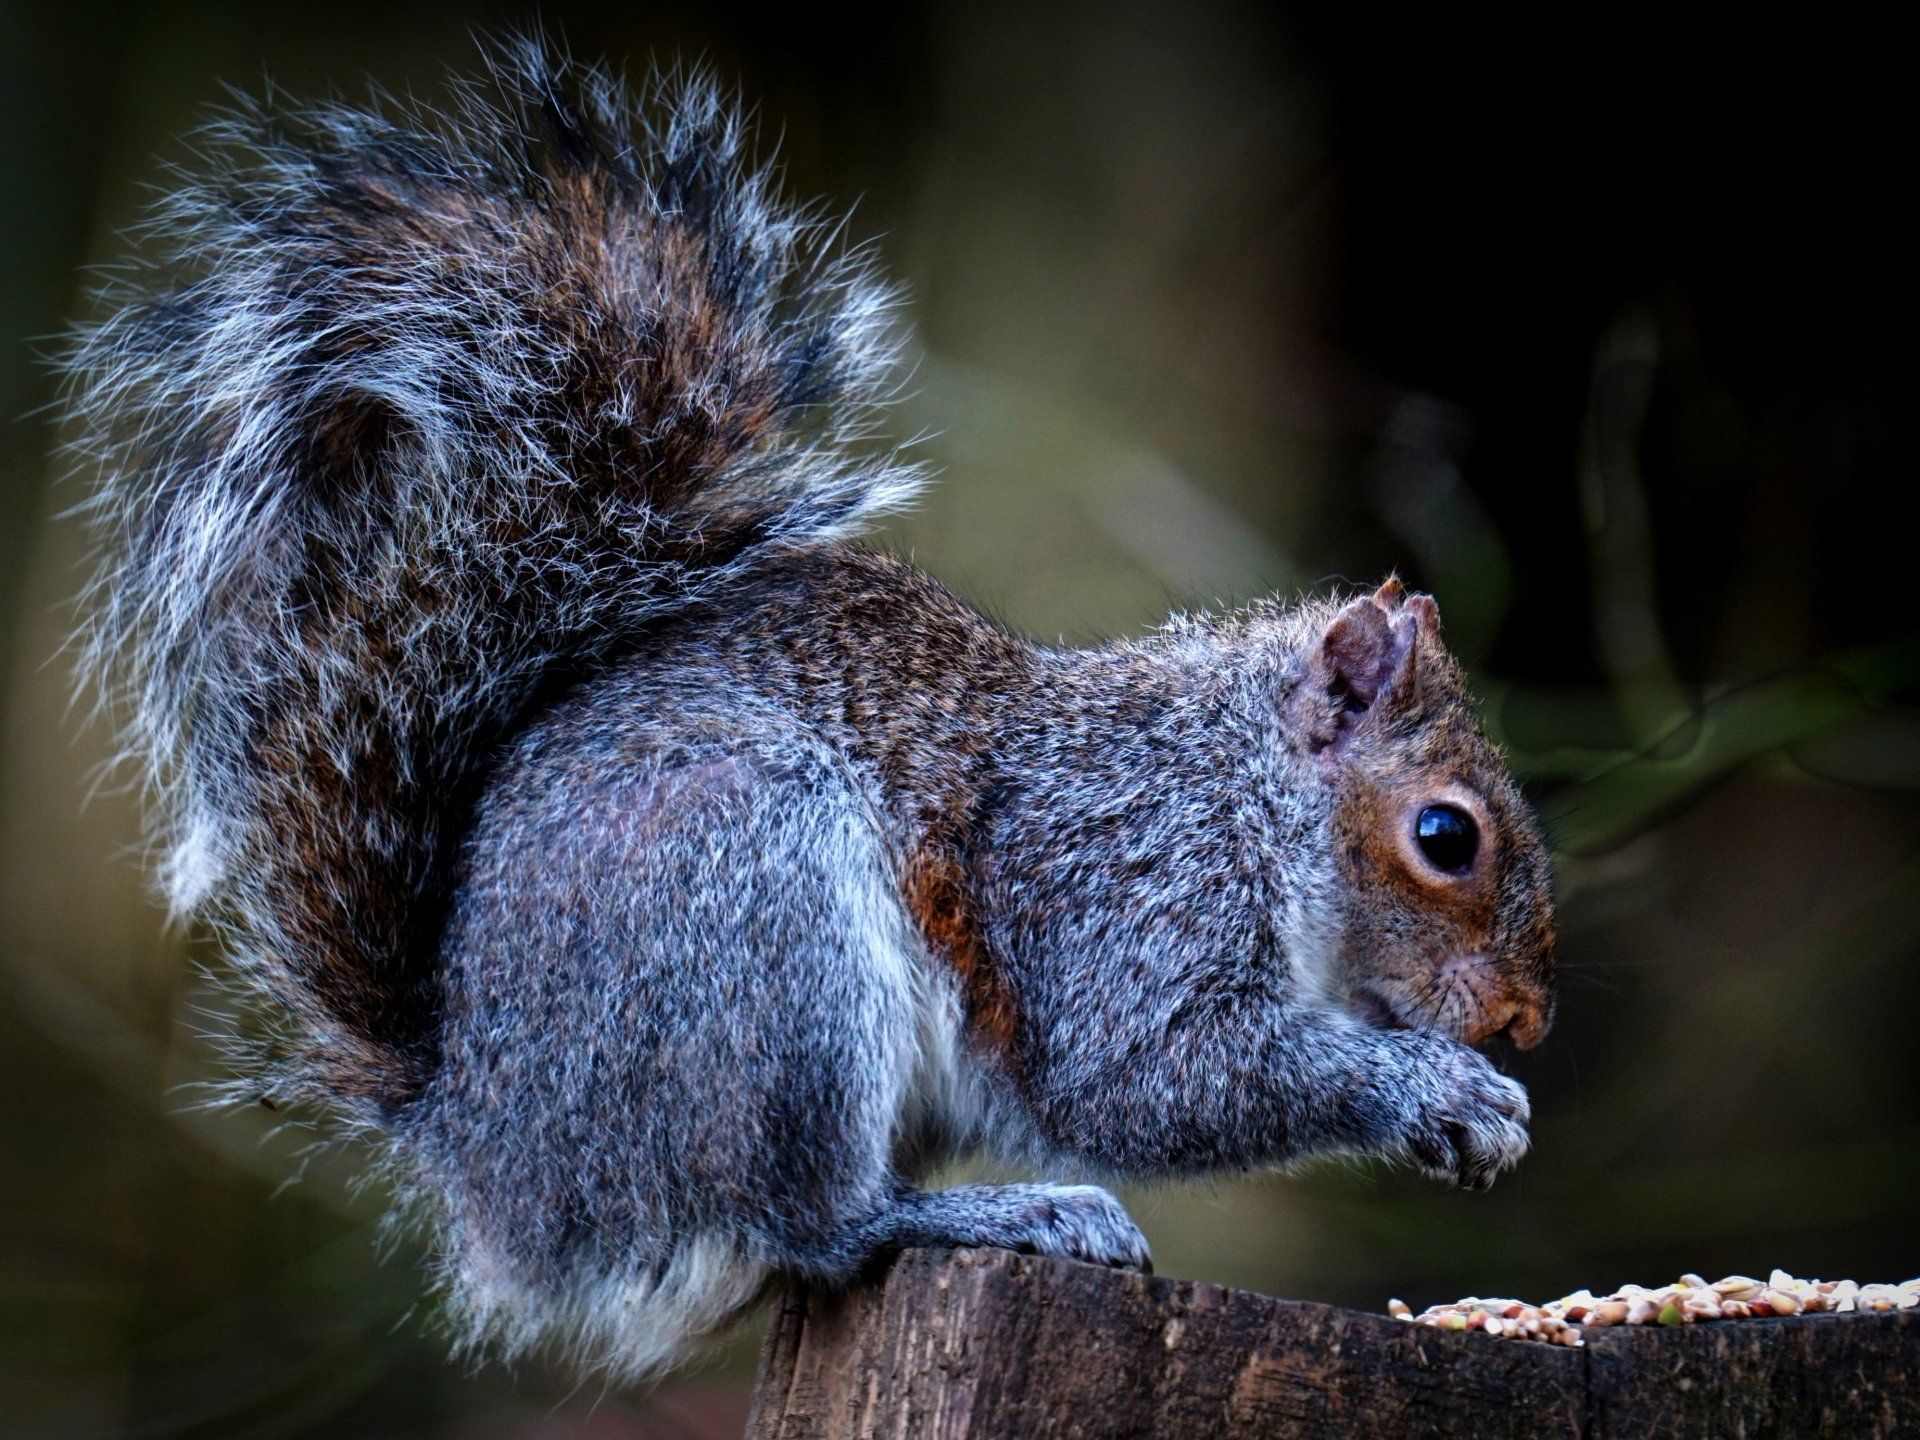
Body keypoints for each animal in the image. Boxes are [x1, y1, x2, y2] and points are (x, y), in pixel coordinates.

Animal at [68, 40, 1556, 1382]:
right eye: (1447, 838)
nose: (1521, 1025)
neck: (1237, 783)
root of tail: (492, 1157)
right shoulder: (1121, 886)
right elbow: (1149, 1078)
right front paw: (1443, 1092)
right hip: (758, 930)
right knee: (818, 1226)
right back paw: (994, 1212)